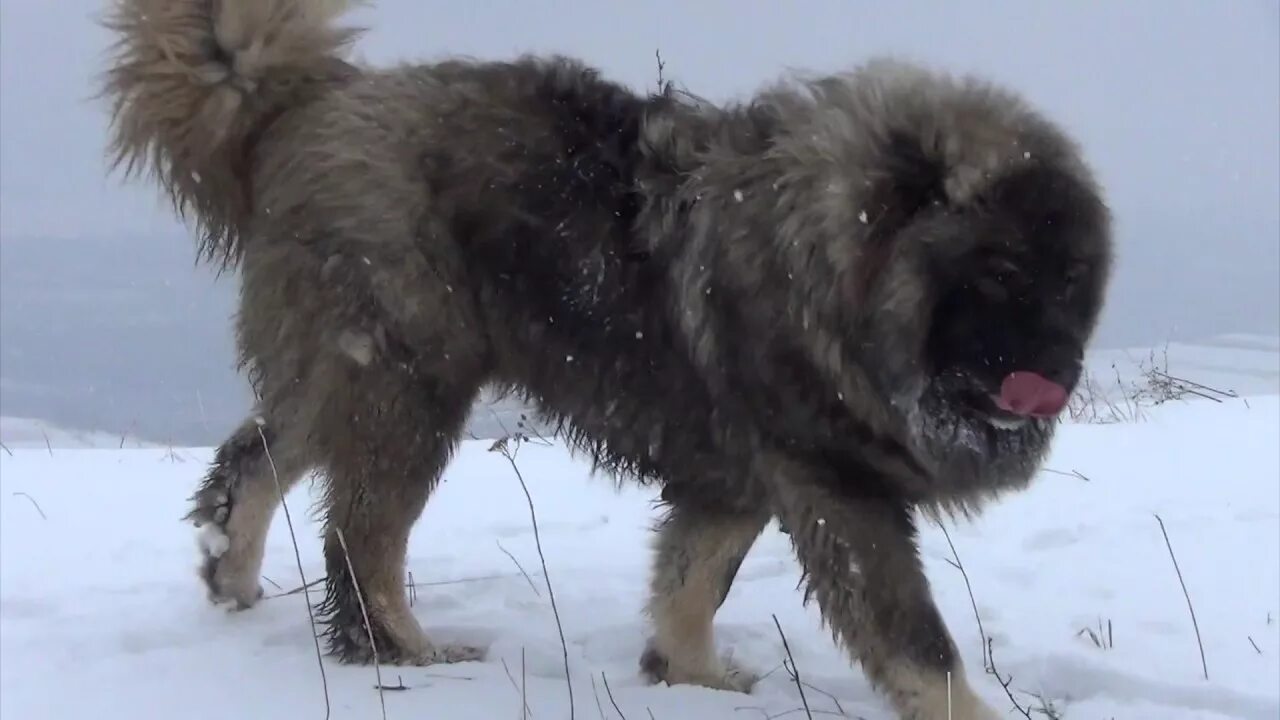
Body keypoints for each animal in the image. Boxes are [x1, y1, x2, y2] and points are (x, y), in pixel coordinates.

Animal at [97, 1, 1111, 712]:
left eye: (1072, 280)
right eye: (1000, 271)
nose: (1060, 375)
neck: (834, 259)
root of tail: (311, 106)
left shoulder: (736, 471)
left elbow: (691, 583)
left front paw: (691, 678)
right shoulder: (834, 484)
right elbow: (917, 643)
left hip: (348, 374)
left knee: (256, 459)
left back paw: (230, 573)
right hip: (408, 384)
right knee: (362, 537)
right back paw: (407, 654)